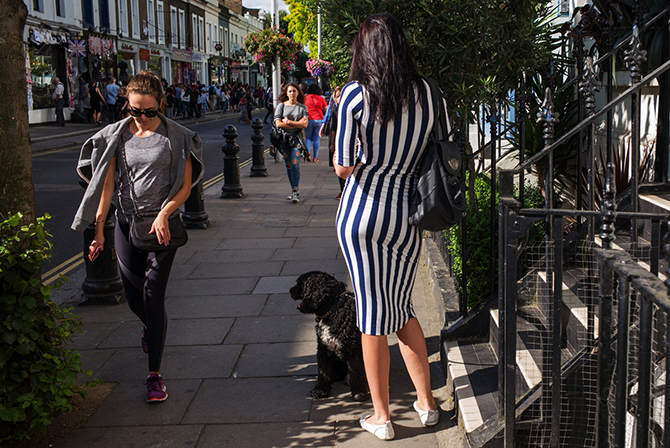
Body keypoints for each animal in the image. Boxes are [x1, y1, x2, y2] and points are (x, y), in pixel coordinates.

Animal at [290, 272, 370, 400]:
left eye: (300, 283)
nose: (290, 290)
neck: (333, 310)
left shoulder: (354, 350)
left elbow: (356, 372)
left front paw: (359, 392)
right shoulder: (323, 348)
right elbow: (323, 371)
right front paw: (320, 390)